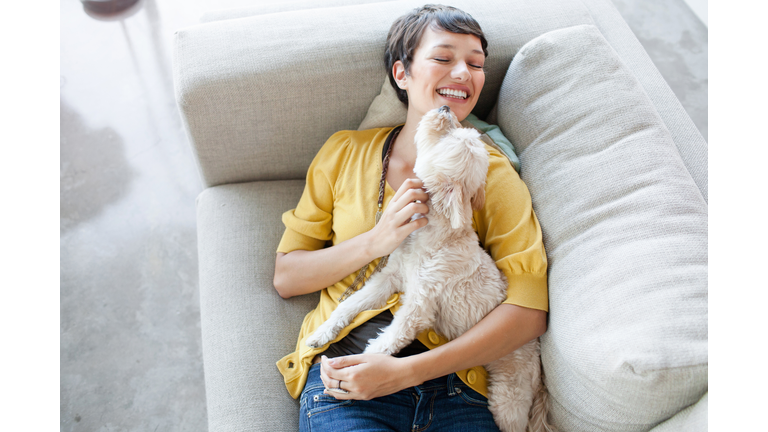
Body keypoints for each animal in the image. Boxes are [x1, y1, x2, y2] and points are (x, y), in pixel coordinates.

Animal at [304, 105, 552, 432]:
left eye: (447, 138)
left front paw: (362, 369)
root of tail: (537, 360)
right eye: (455, 129)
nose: (445, 108)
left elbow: (388, 341)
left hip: (508, 395)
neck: (433, 236)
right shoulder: (390, 279)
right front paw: (322, 333)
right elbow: (350, 305)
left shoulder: (418, 307)